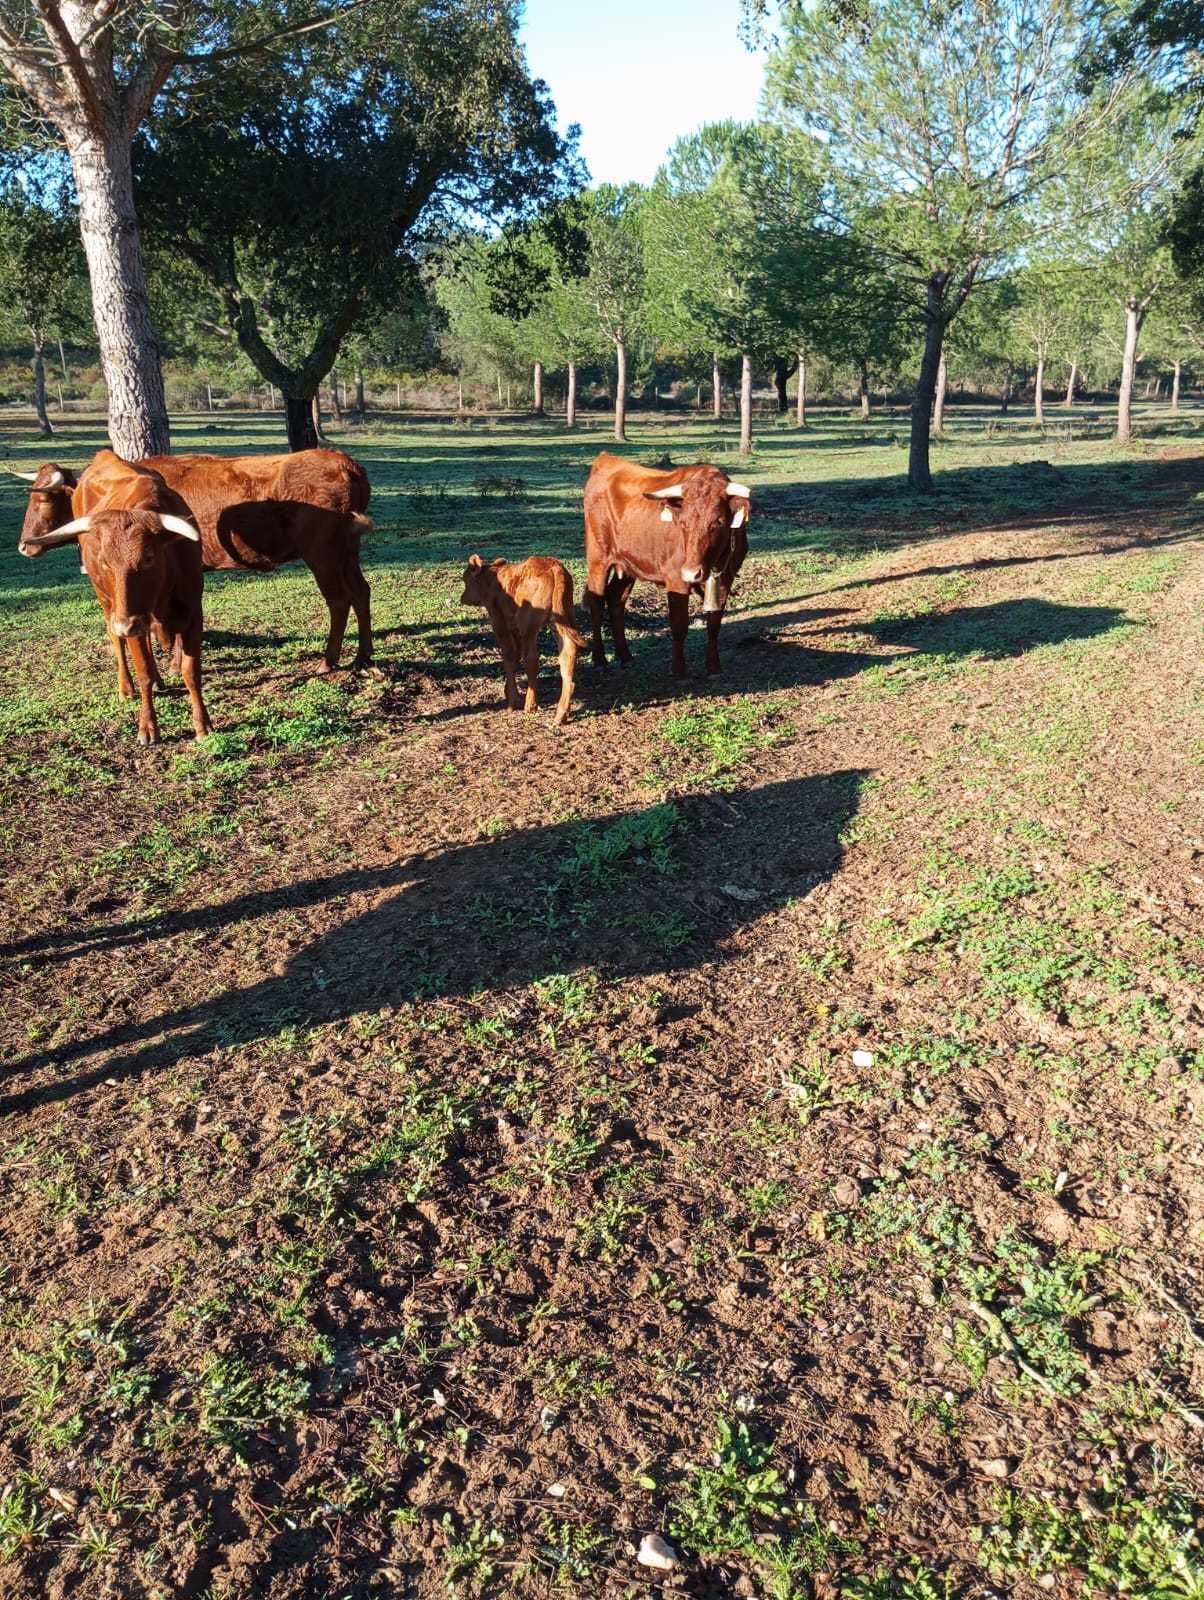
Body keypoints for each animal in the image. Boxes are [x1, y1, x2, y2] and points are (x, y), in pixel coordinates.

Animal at [14, 448, 371, 672]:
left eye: (43, 501)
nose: (22, 546)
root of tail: (345, 463)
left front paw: (173, 663)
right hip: (347, 552)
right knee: (361, 593)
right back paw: (362, 657)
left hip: (323, 555)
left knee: (339, 600)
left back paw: (329, 660)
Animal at [18, 451, 211, 742]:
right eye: (104, 561)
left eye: (148, 558)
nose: (23, 546)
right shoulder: (129, 617)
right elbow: (143, 671)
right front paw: (148, 726)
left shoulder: (192, 615)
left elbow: (191, 671)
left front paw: (202, 724)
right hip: (107, 602)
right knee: (117, 641)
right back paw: (126, 687)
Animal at [579, 454, 749, 678]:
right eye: (683, 523)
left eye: (718, 522)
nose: (691, 572)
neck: (714, 563)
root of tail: (606, 459)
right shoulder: (676, 579)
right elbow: (679, 625)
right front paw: (679, 671)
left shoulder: (725, 580)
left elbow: (714, 624)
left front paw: (714, 667)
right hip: (598, 560)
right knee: (596, 604)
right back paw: (599, 660)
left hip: (628, 565)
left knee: (616, 600)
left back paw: (625, 657)